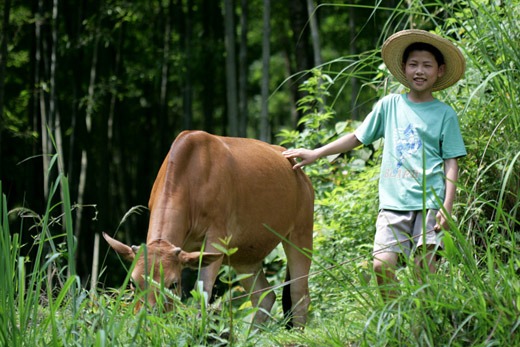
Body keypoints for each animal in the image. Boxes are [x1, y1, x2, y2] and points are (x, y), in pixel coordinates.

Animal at [101, 130, 312, 328]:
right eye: (133, 283)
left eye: (173, 283)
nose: (149, 317)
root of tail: (300, 175)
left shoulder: (216, 237)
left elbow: (202, 292)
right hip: (245, 258)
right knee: (264, 297)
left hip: (301, 232)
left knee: (298, 294)